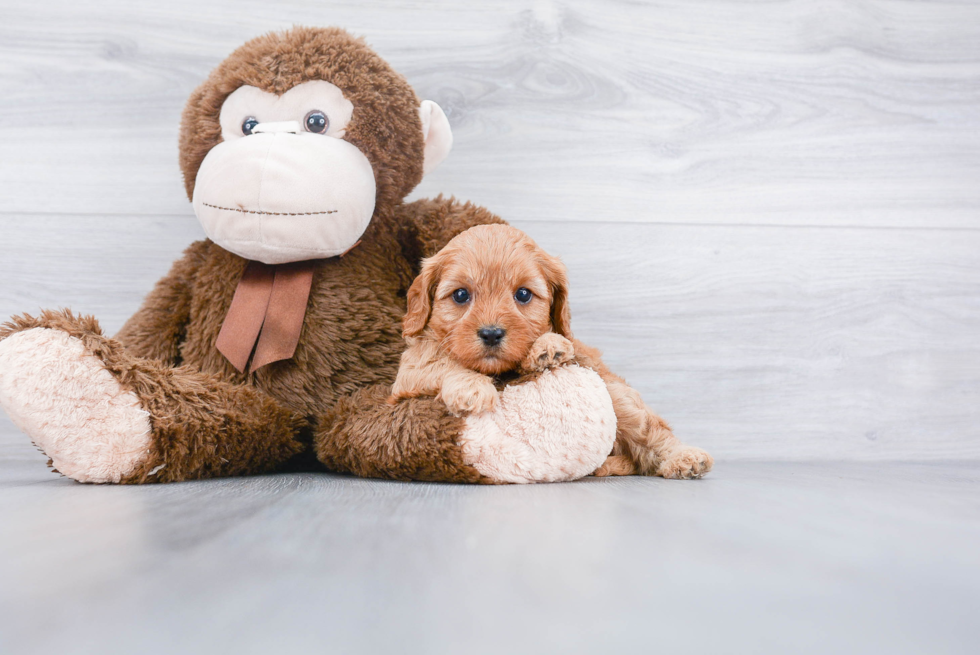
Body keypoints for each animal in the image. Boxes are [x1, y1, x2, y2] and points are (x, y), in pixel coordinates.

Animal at [388, 223, 712, 480]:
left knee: (650, 433)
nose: (491, 333)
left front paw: (547, 346)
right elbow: (440, 361)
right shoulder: (409, 374)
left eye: (523, 294)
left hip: (618, 396)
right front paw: (471, 389)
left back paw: (684, 458)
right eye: (460, 295)